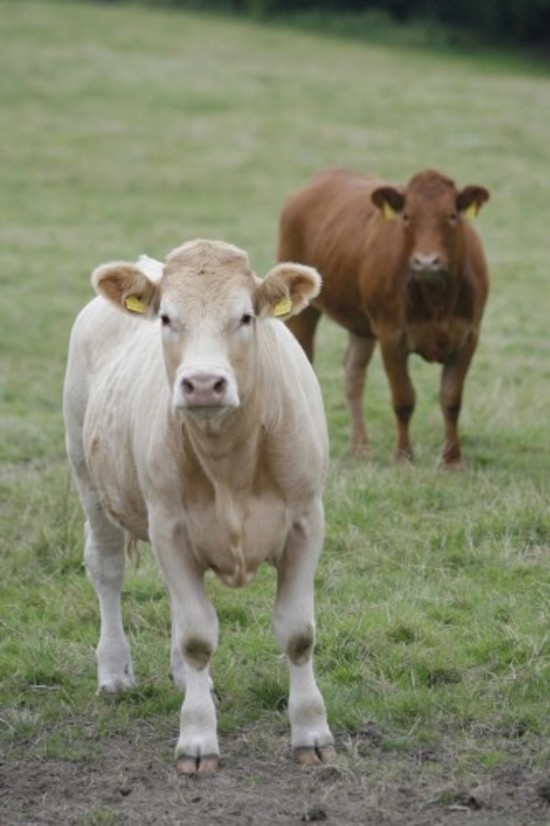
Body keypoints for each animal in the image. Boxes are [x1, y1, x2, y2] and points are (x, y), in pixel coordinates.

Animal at [62, 237, 334, 772]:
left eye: (246, 316)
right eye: (167, 317)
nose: (204, 384)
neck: (231, 462)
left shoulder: (305, 523)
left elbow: (297, 634)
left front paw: (312, 732)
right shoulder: (169, 527)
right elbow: (197, 638)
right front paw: (197, 738)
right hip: (89, 479)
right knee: (107, 570)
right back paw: (115, 670)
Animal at [280, 168, 492, 466]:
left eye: (452, 215)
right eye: (407, 216)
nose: (426, 262)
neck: (437, 300)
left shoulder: (469, 336)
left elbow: (451, 399)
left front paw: (452, 459)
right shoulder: (391, 335)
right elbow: (404, 399)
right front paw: (403, 455)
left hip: (361, 325)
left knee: (354, 374)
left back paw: (360, 447)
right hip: (303, 310)